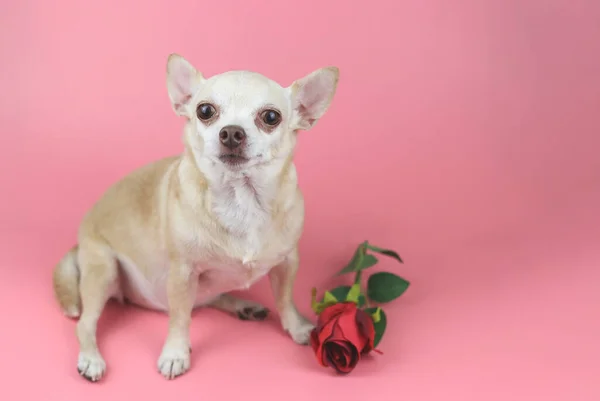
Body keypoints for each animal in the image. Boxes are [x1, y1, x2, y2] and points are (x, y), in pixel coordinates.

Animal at [51, 54, 338, 382]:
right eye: (205, 111)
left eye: (270, 117)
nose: (231, 132)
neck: (241, 199)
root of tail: (78, 244)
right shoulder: (183, 273)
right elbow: (179, 319)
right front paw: (175, 354)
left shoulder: (288, 262)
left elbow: (285, 299)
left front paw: (297, 326)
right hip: (105, 270)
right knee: (85, 324)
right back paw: (91, 358)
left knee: (210, 298)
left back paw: (244, 307)